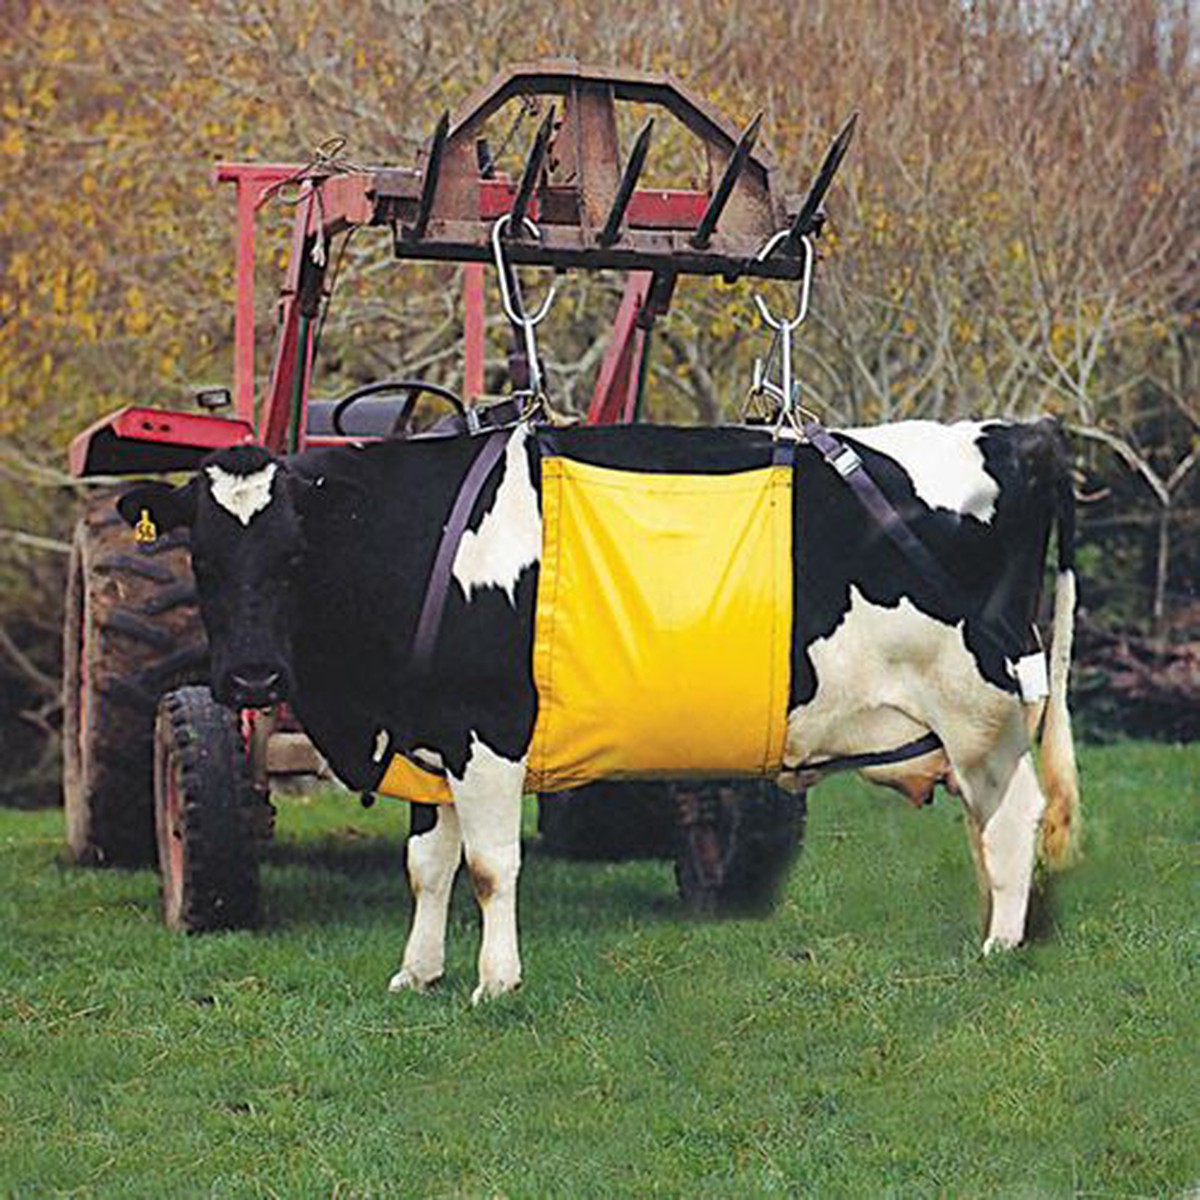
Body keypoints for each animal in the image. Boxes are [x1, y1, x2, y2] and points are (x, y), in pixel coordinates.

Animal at [119, 417, 1079, 1003]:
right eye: (201, 560)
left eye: (295, 556)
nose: (249, 681)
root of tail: (1022, 434)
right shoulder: (433, 739)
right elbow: (427, 868)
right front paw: (416, 975)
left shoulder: (488, 730)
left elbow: (489, 867)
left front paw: (495, 983)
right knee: (988, 825)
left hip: (983, 705)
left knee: (1013, 817)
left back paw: (1002, 946)